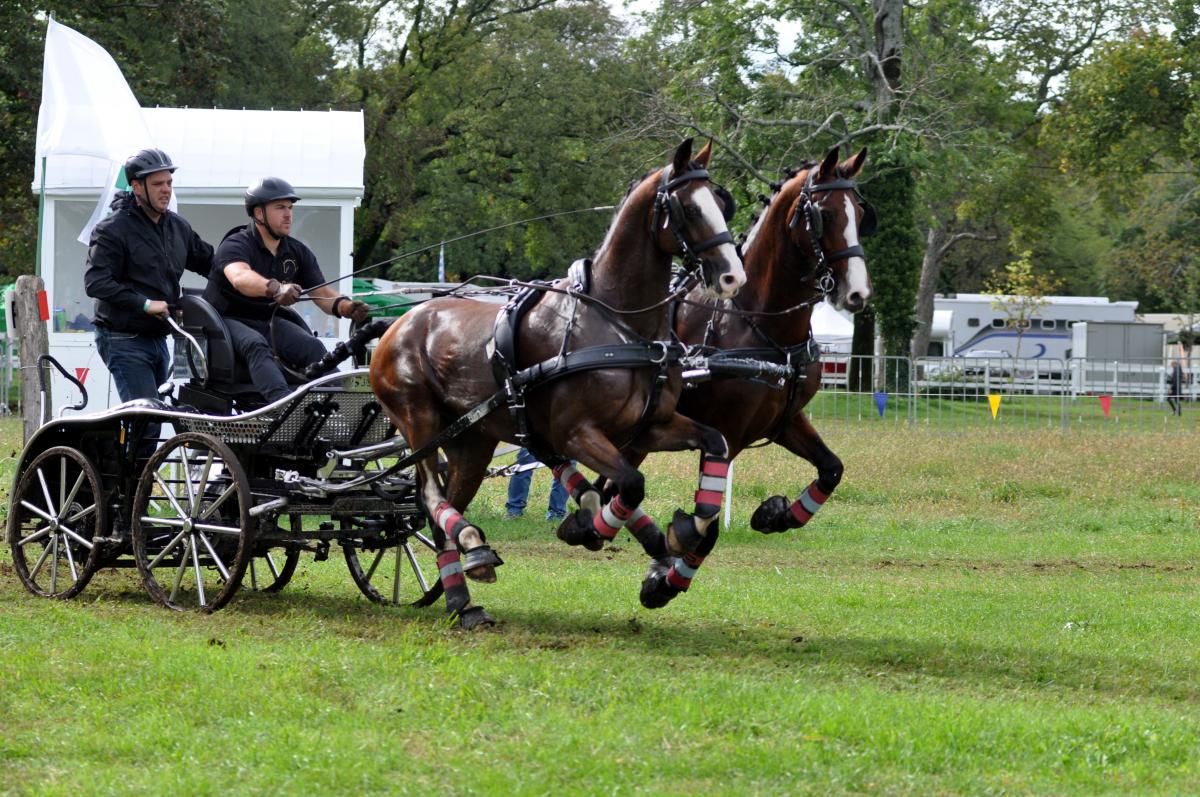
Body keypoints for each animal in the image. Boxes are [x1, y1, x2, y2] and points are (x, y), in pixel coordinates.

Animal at [374, 138, 744, 628]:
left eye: (722, 203)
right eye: (688, 207)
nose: (733, 275)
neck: (619, 325)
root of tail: (397, 324)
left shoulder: (651, 426)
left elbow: (713, 444)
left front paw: (687, 528)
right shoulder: (577, 433)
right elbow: (630, 483)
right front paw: (588, 527)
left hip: (473, 441)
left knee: (443, 507)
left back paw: (462, 594)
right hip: (419, 420)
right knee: (432, 494)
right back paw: (473, 552)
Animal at [633, 144, 878, 604]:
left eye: (860, 212)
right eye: (824, 215)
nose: (857, 292)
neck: (758, 323)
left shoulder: (784, 420)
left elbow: (832, 468)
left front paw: (776, 514)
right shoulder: (724, 434)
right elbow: (706, 527)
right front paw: (664, 578)